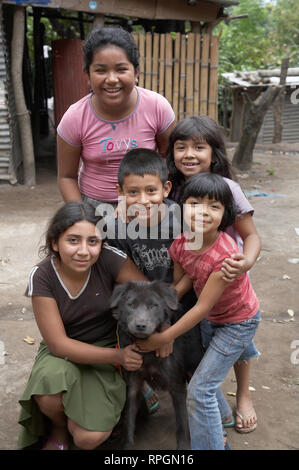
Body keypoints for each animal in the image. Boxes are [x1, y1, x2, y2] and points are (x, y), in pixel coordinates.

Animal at [111, 280, 205, 450]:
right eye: (131, 305)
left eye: (153, 306)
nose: (140, 325)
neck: (148, 352)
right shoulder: (133, 385)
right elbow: (129, 421)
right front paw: (127, 445)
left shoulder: (177, 386)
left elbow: (182, 423)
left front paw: (183, 446)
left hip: (194, 366)